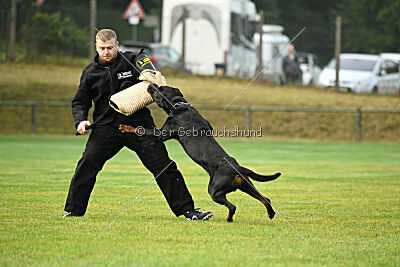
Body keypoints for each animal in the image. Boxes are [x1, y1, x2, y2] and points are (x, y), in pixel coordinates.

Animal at [120, 86, 280, 222]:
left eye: (160, 89)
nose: (149, 85)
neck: (179, 105)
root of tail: (237, 167)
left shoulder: (161, 134)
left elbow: (141, 129)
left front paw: (126, 127)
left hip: (215, 190)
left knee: (233, 206)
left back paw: (229, 219)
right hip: (246, 185)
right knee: (265, 199)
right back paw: (270, 213)